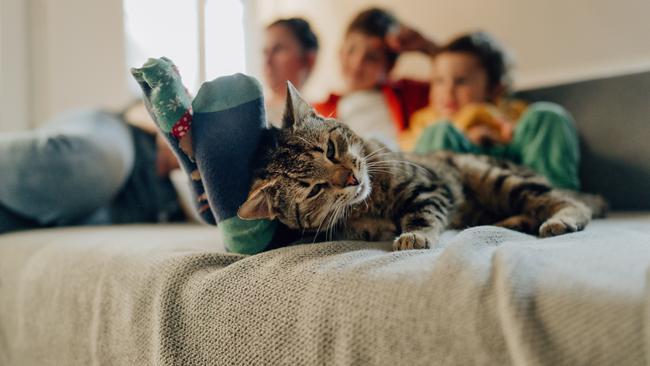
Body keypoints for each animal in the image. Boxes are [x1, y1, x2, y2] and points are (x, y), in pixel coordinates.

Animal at [238, 84, 604, 250]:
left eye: (329, 149)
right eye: (315, 189)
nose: (352, 178)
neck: (372, 202)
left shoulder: (430, 187)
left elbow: (422, 213)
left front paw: (414, 234)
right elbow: (359, 227)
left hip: (495, 176)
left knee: (566, 201)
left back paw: (561, 219)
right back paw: (512, 221)